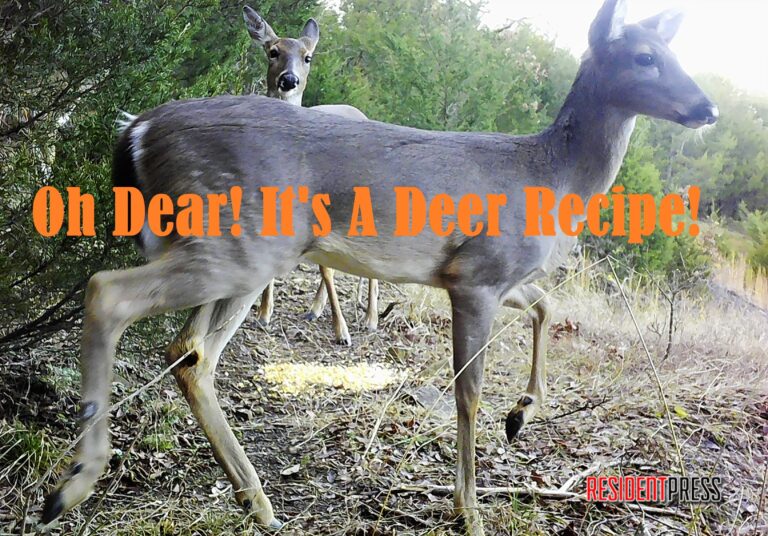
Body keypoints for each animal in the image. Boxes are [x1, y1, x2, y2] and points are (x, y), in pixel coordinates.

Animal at [242, 6, 379, 346]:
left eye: (308, 57)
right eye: (273, 51)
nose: (288, 80)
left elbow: (326, 269)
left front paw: (342, 332)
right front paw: (264, 313)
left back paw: (369, 318)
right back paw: (315, 310)